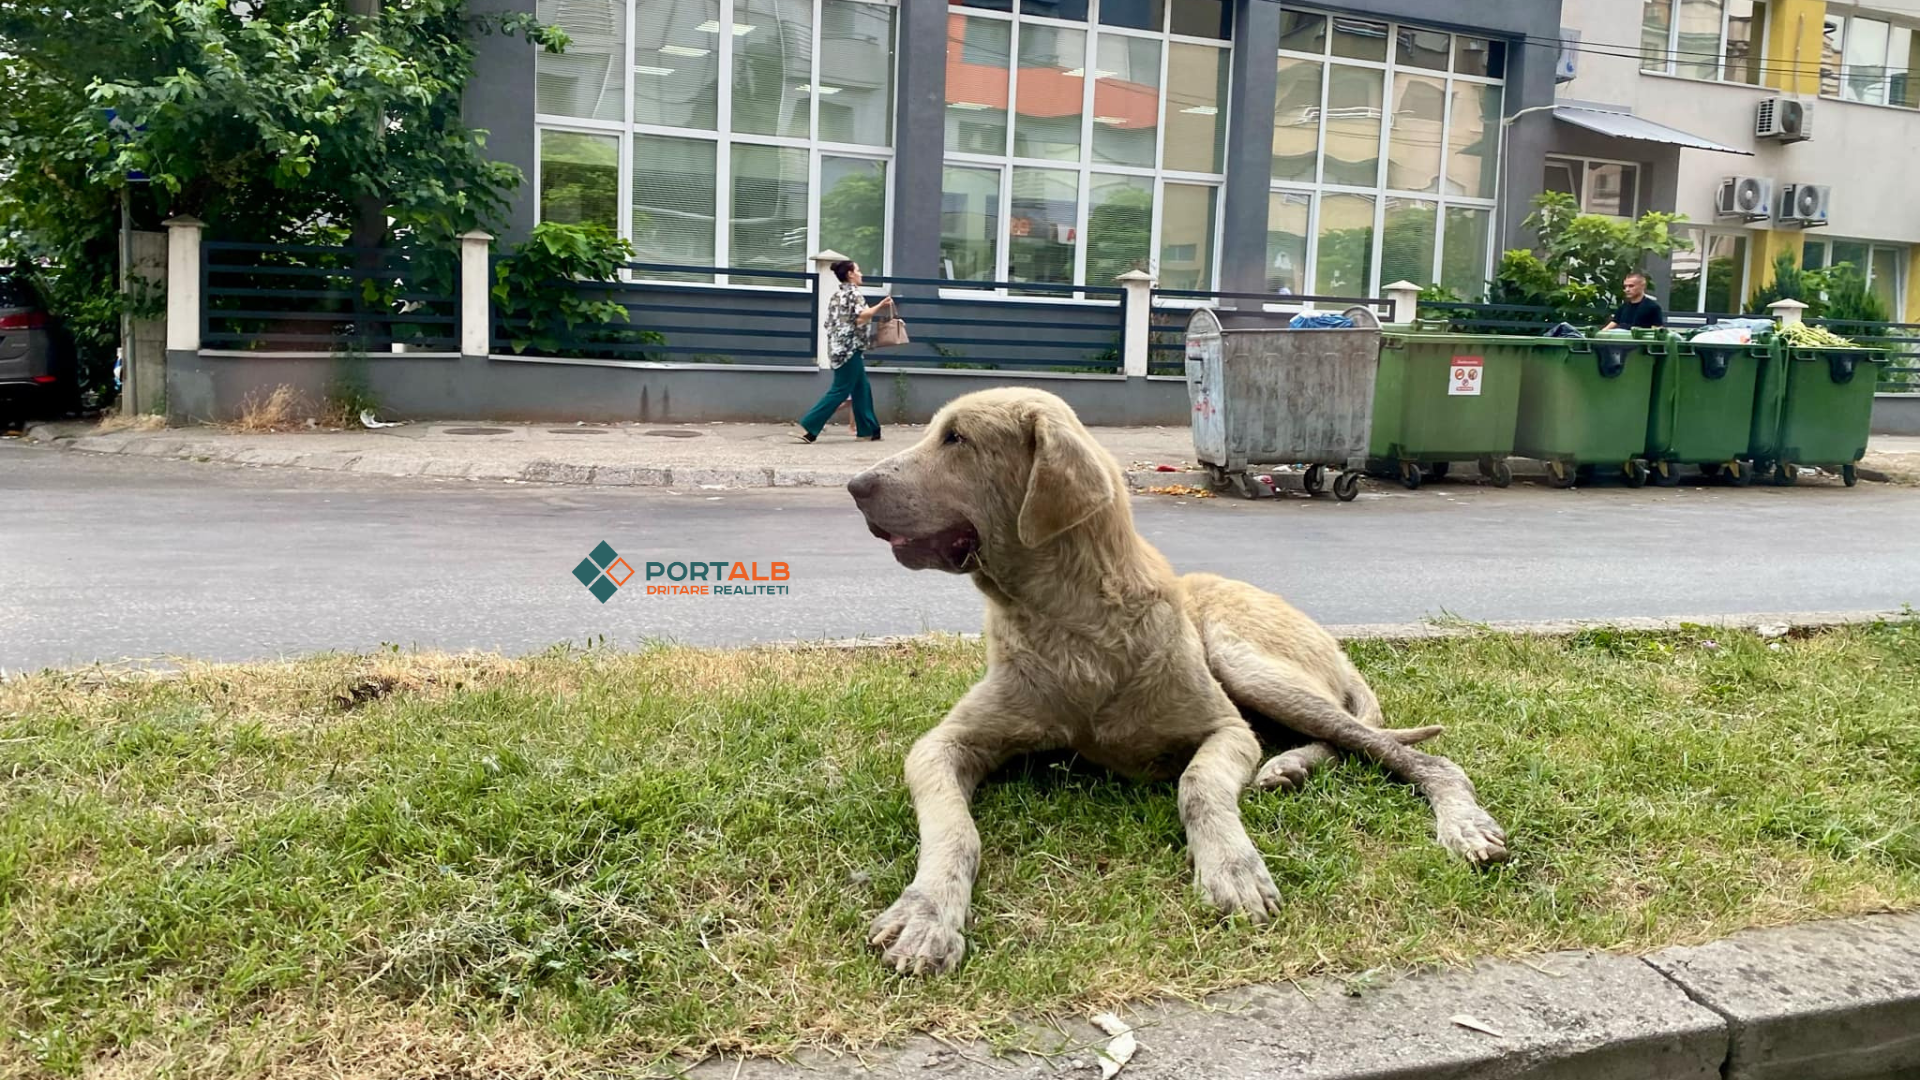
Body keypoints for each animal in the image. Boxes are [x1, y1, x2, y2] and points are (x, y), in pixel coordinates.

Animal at [848, 388, 1505, 976]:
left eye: (956, 439)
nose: (855, 486)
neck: (1071, 624)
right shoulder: (941, 744)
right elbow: (954, 829)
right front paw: (928, 914)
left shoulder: (1224, 730)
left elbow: (1197, 785)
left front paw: (1233, 867)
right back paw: (1289, 766)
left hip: (1240, 659)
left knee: (1410, 753)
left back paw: (1460, 823)